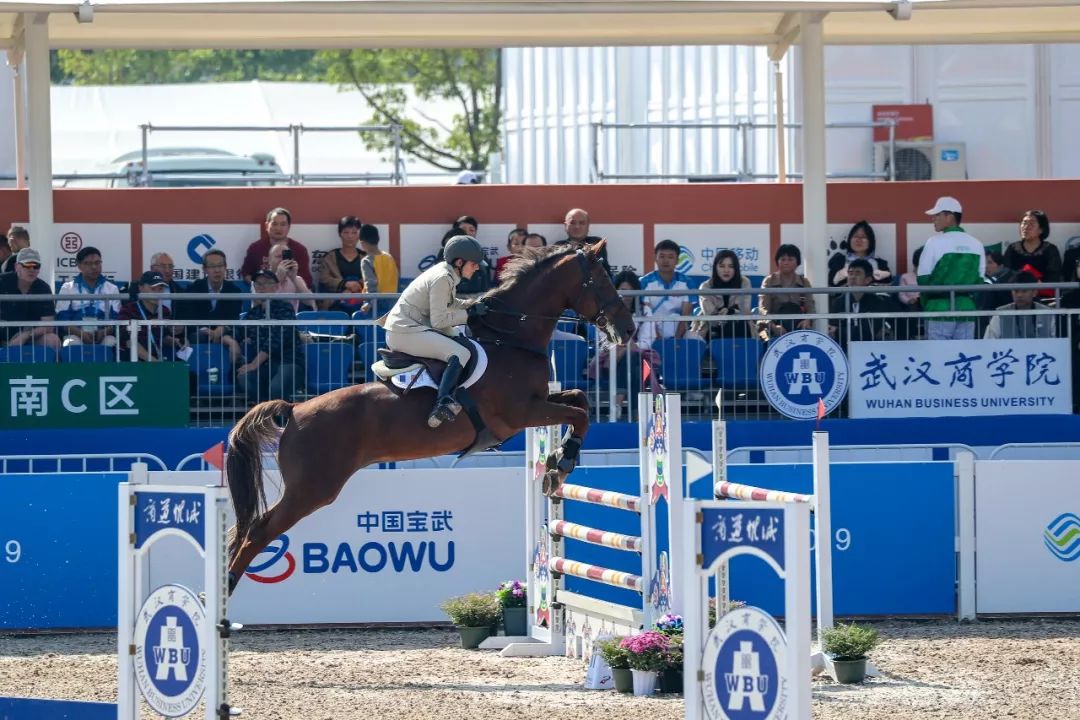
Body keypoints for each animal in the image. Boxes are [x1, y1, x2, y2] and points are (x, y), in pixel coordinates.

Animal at [223, 240, 635, 591]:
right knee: (256, 533)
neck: (511, 338)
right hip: (312, 489)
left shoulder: (539, 402)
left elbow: (580, 401)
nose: (628, 330)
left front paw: (556, 463)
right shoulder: (523, 412)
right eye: (601, 280)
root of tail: (294, 410)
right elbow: (580, 414)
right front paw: (561, 463)